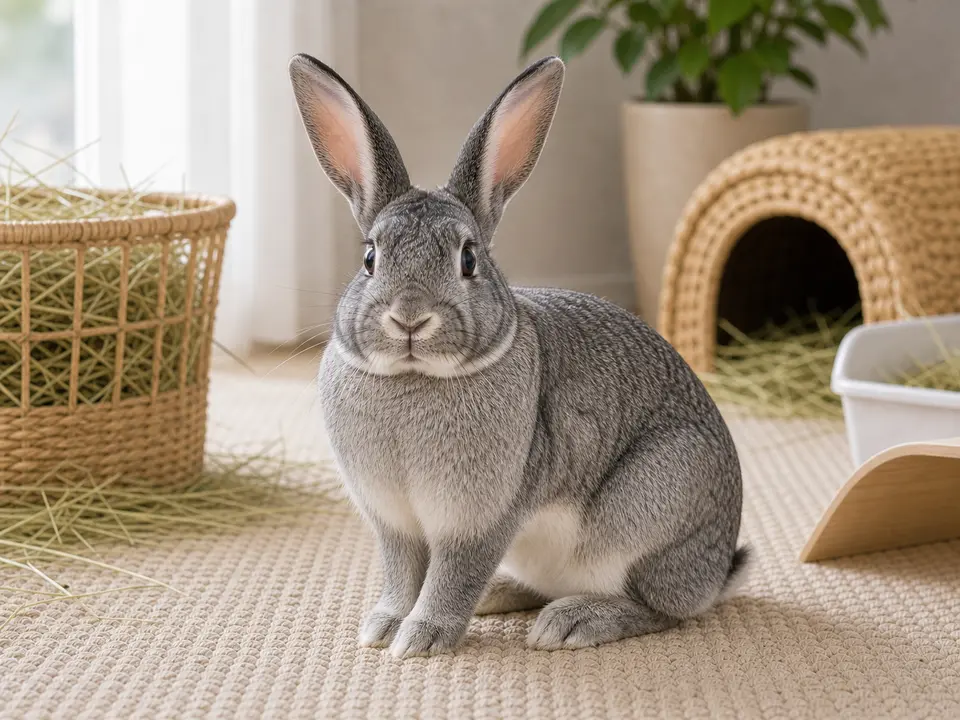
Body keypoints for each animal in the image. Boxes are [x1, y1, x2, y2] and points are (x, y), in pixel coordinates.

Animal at [288, 52, 747, 658]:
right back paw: (500, 596)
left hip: (655, 506)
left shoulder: (480, 521)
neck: (415, 376)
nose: (409, 318)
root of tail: (718, 572)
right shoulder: (395, 524)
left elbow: (451, 577)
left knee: (662, 609)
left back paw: (572, 623)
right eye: (369, 258)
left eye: (468, 259)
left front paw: (421, 638)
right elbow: (403, 574)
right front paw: (382, 627)